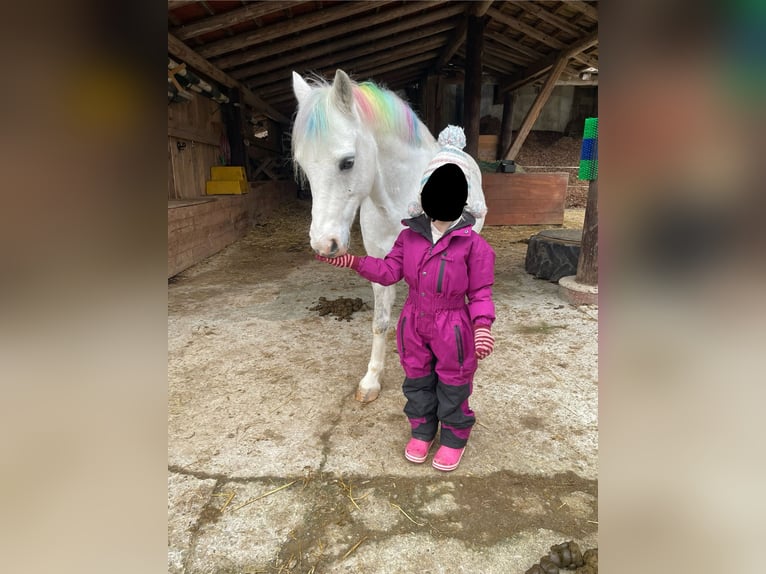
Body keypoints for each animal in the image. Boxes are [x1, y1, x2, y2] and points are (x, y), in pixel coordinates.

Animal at [291, 69, 487, 403]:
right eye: (303, 166)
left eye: (348, 162)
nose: (324, 244)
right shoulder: (382, 264)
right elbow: (380, 322)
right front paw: (372, 380)